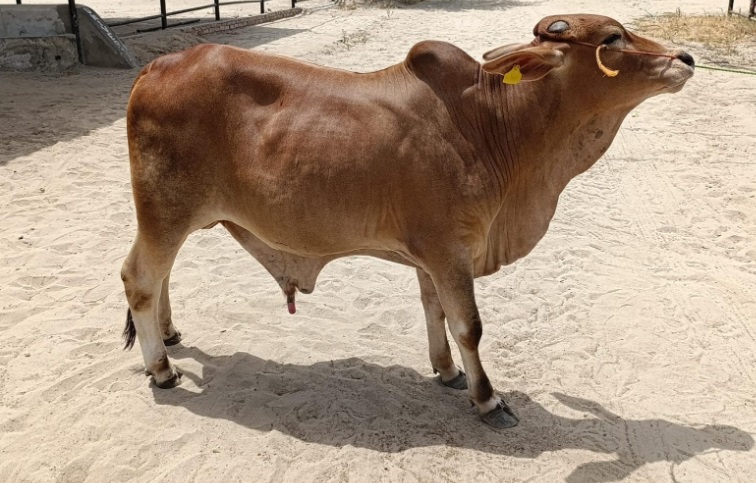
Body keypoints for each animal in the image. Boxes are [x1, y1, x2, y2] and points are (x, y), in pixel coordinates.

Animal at [120, 14, 694, 428]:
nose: (685, 57)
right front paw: (488, 399)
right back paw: (162, 368)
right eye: (613, 37)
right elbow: (469, 325)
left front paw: (446, 371)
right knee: (139, 278)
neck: (492, 124)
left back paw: (169, 336)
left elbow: (434, 311)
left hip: (175, 216)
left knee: (161, 277)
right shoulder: (449, 250)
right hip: (165, 212)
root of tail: (160, 65)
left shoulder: (431, 255)